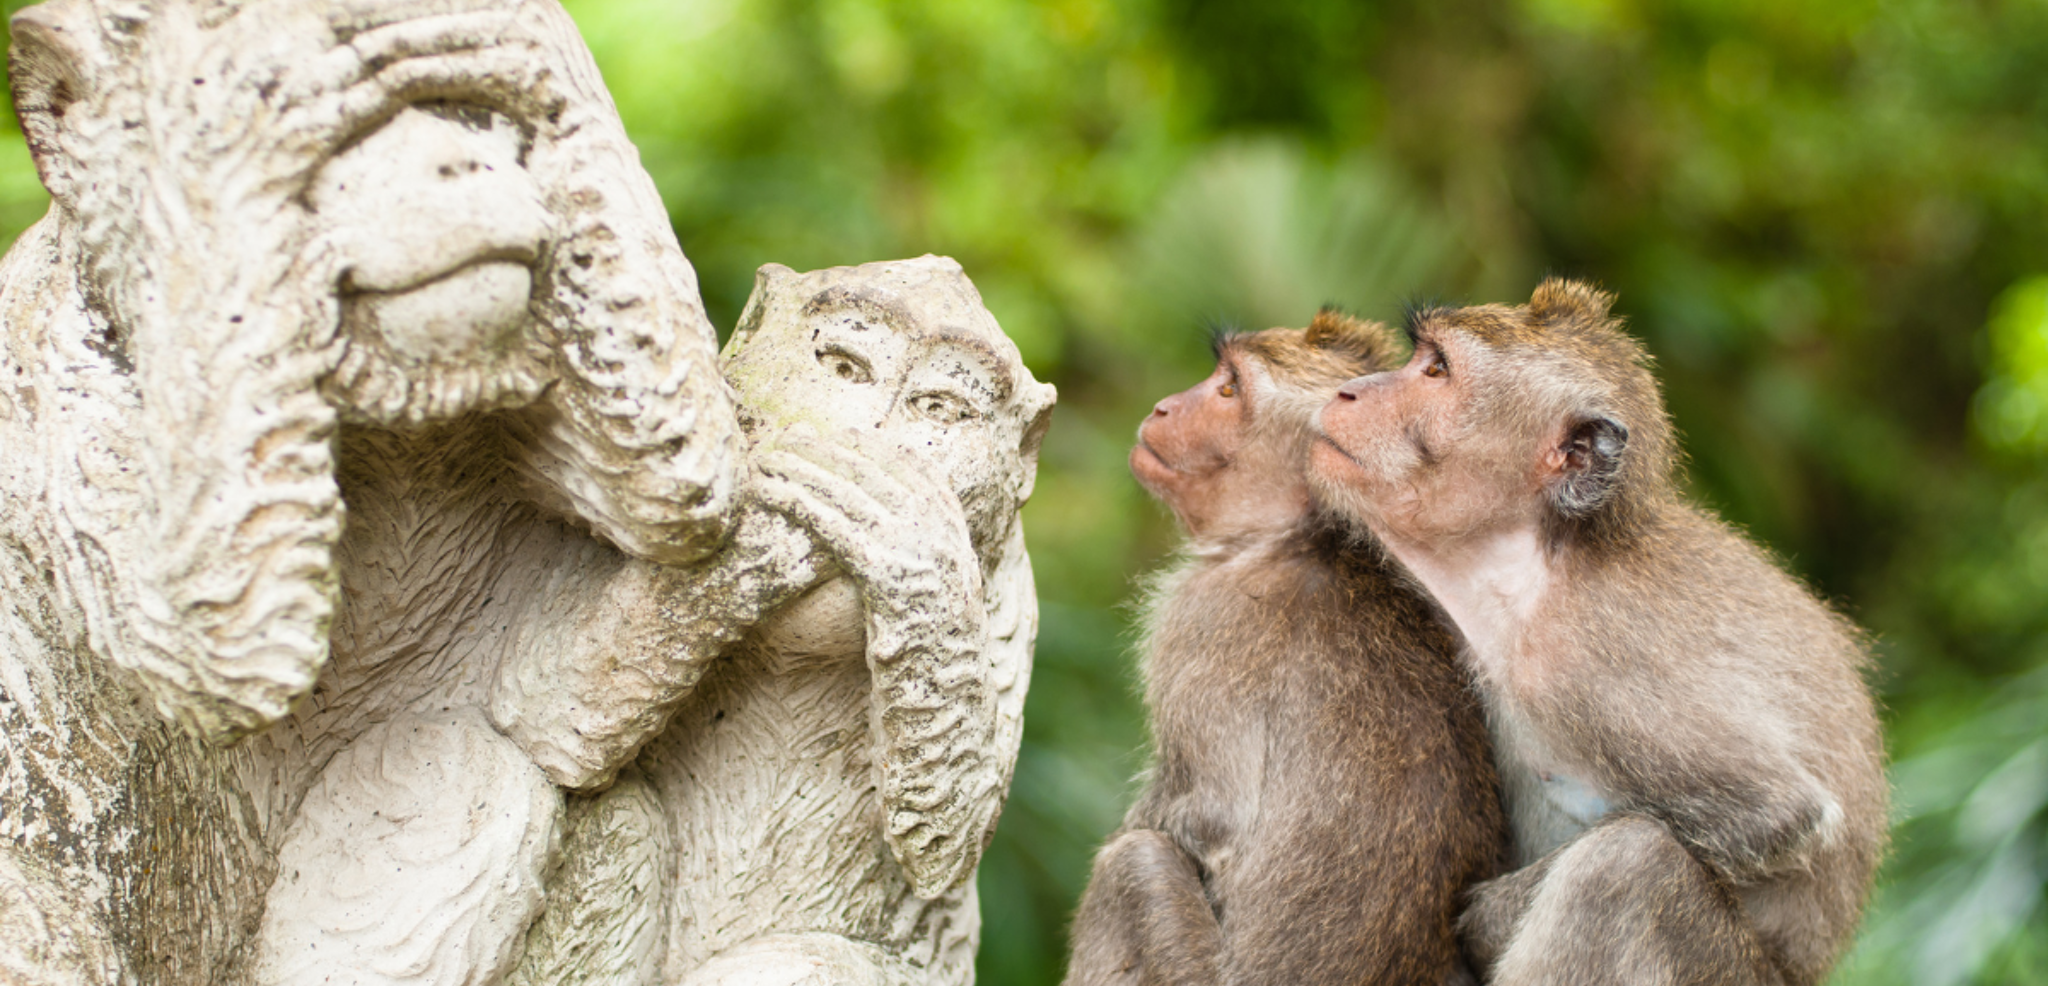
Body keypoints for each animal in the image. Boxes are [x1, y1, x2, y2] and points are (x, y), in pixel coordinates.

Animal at [1062, 311, 1508, 986]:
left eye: (1228, 390)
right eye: (1217, 376)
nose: (1165, 407)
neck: (1298, 537)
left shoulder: (1200, 619)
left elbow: (1207, 816)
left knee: (1132, 866)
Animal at [1308, 279, 1888, 986]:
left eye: (1436, 369)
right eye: (1421, 357)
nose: (1350, 392)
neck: (1535, 566)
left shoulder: (1586, 665)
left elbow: (1780, 814)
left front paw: (1492, 917)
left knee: (1626, 866)